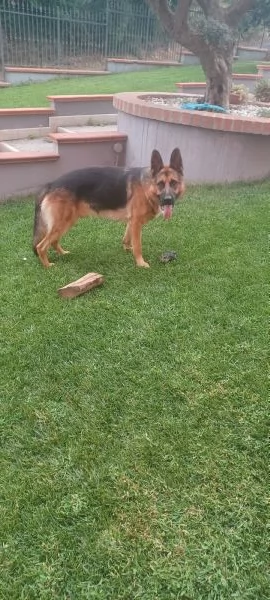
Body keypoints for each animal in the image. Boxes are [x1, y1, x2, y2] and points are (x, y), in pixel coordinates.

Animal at [32, 146, 185, 268]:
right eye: (160, 184)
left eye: (173, 183)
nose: (168, 201)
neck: (146, 186)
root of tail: (51, 184)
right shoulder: (136, 223)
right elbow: (138, 246)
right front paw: (140, 263)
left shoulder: (132, 222)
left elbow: (127, 239)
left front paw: (127, 249)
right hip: (62, 223)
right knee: (41, 246)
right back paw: (47, 266)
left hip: (66, 222)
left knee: (53, 241)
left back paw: (63, 253)